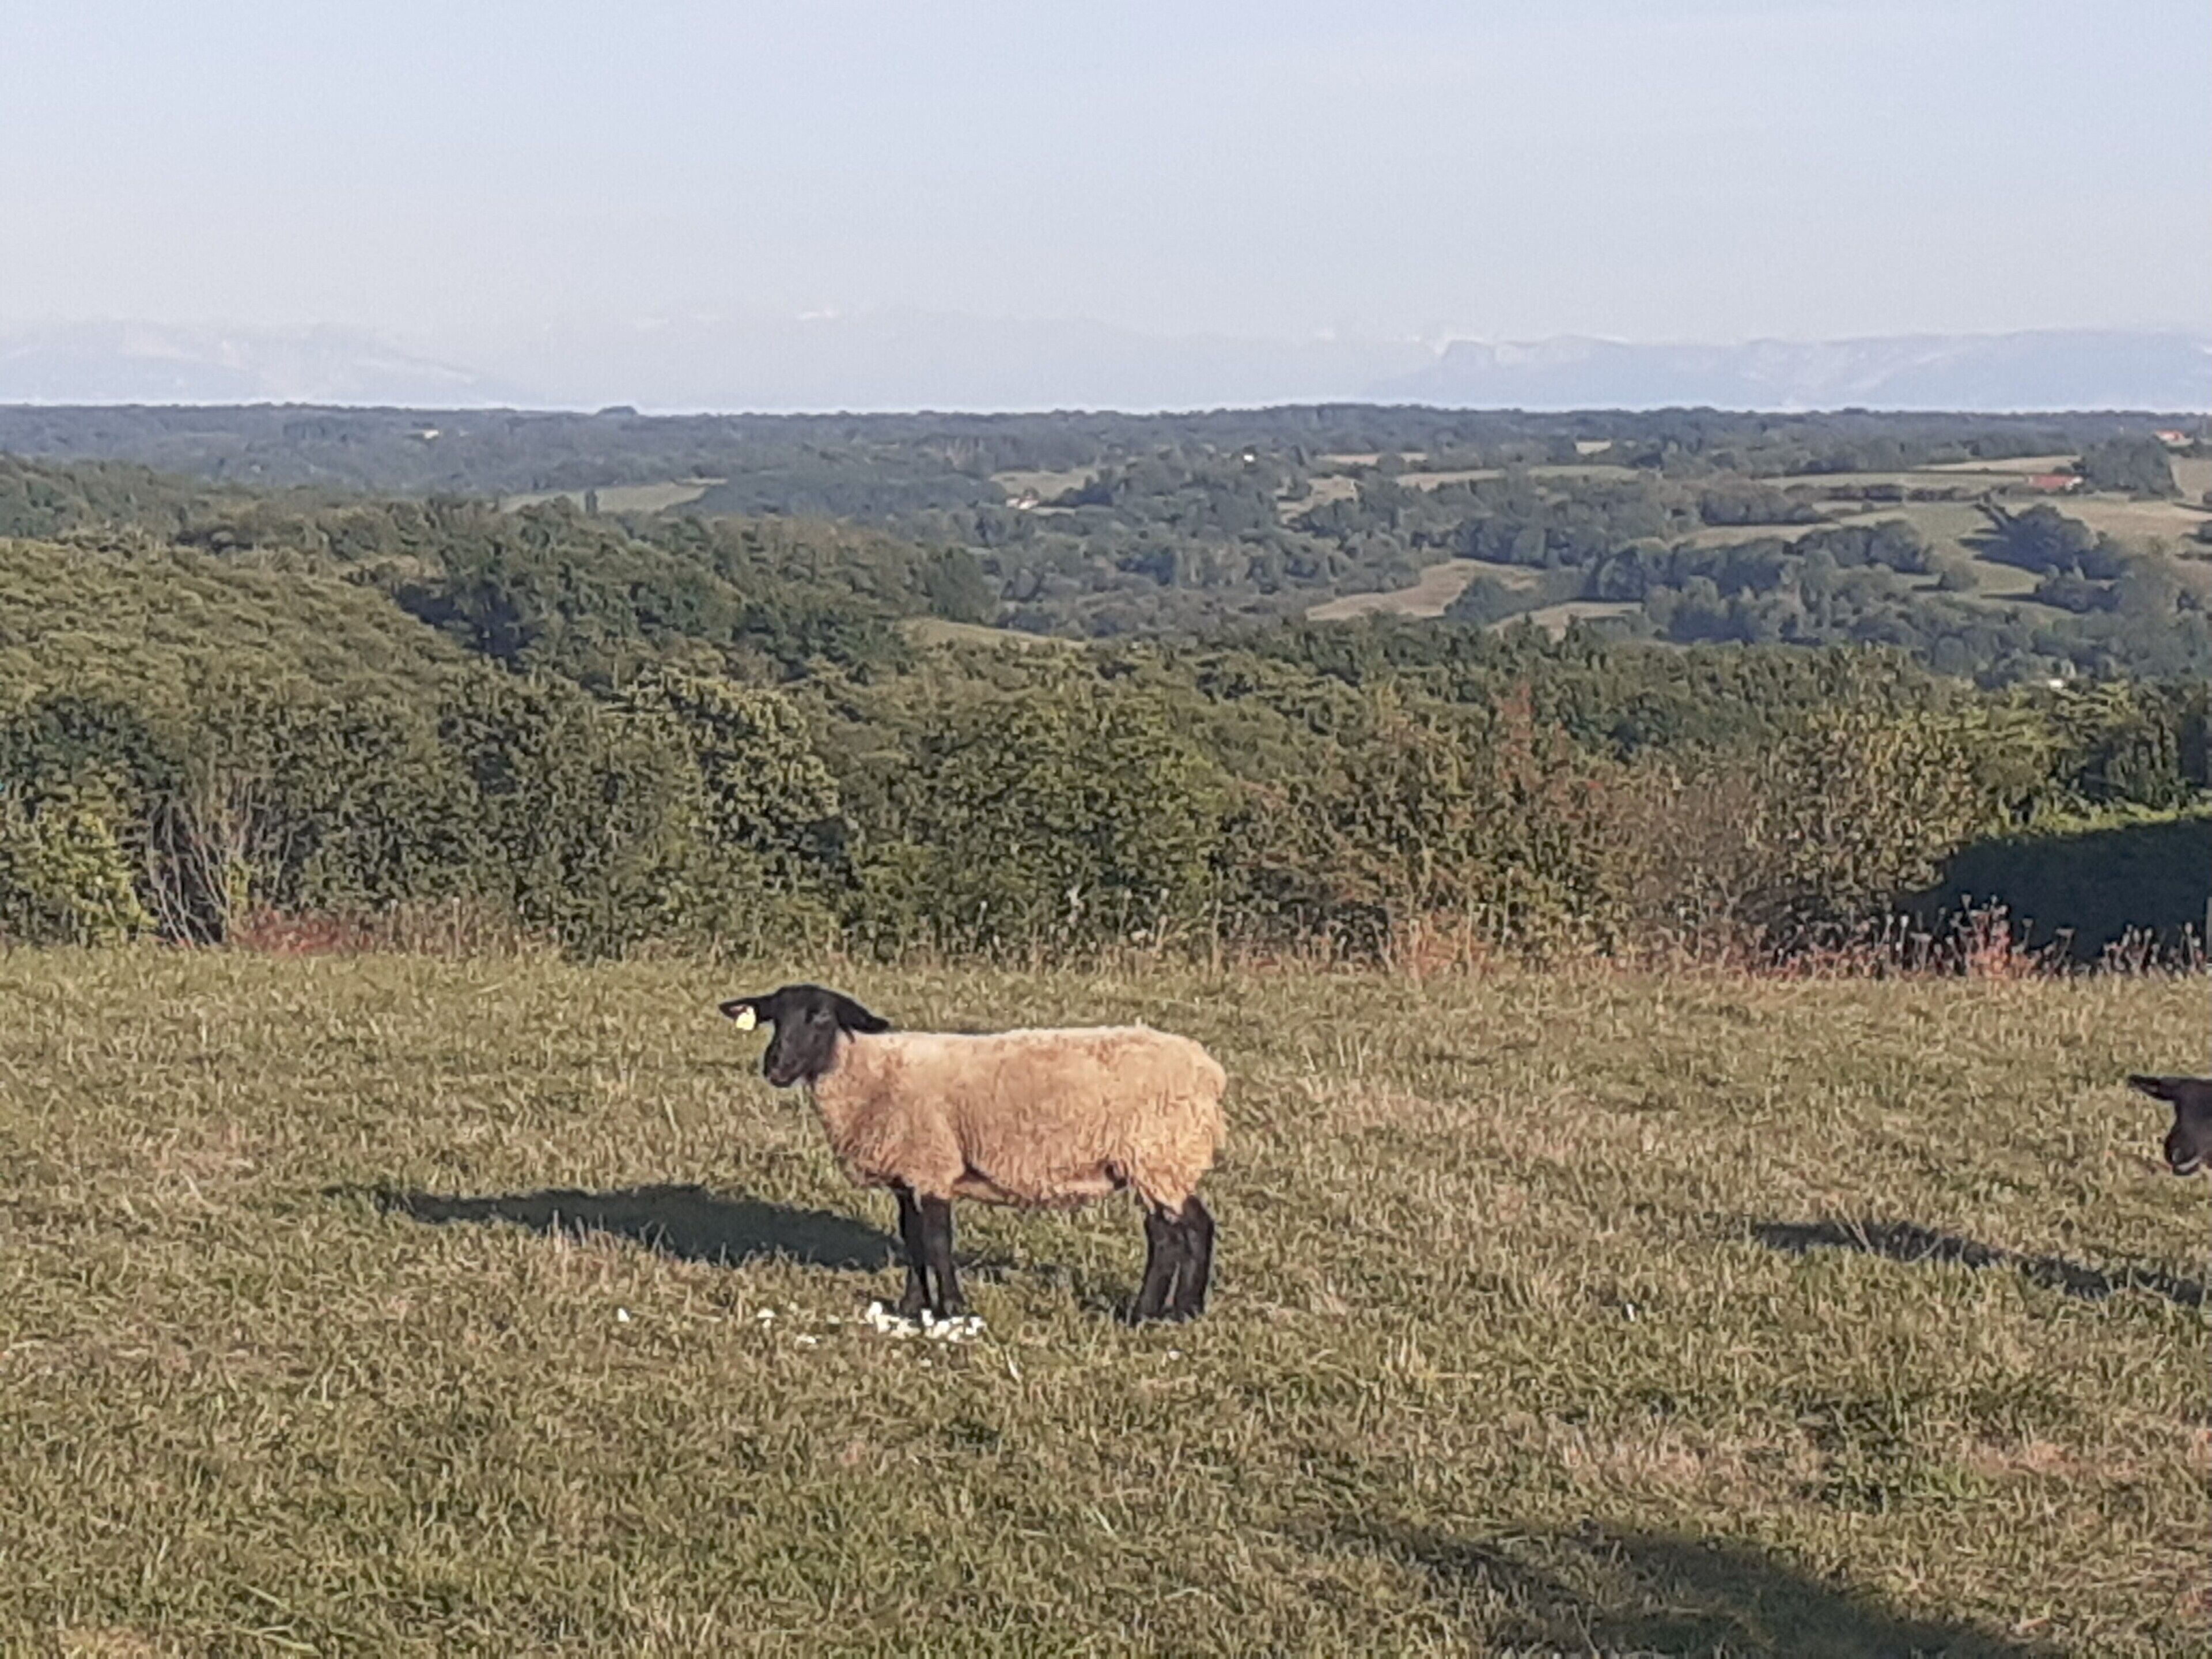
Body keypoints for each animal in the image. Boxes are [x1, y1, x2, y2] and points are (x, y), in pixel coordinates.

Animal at [718, 983, 1227, 1324]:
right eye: (773, 1018)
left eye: (821, 1017)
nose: (775, 1067)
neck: (869, 1071)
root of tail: (1208, 1069)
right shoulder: (909, 1172)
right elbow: (912, 1238)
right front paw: (912, 1306)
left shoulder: (933, 1162)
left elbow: (938, 1240)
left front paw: (952, 1309)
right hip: (1162, 1160)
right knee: (1182, 1229)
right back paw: (1168, 1311)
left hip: (1157, 1152)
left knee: (1180, 1230)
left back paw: (1161, 1312)